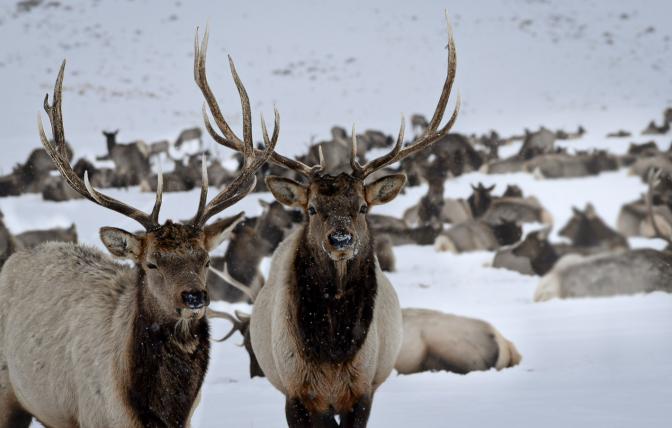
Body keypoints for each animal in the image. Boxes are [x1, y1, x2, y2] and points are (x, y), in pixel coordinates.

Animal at [0, 54, 276, 428]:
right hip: (8, 392)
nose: (194, 296)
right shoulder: (92, 415)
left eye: (205, 260)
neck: (154, 410)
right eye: (152, 263)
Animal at [194, 17, 459, 426]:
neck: (333, 349)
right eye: (312, 208)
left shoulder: (363, 391)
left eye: (363, 207)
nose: (340, 240)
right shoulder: (297, 394)